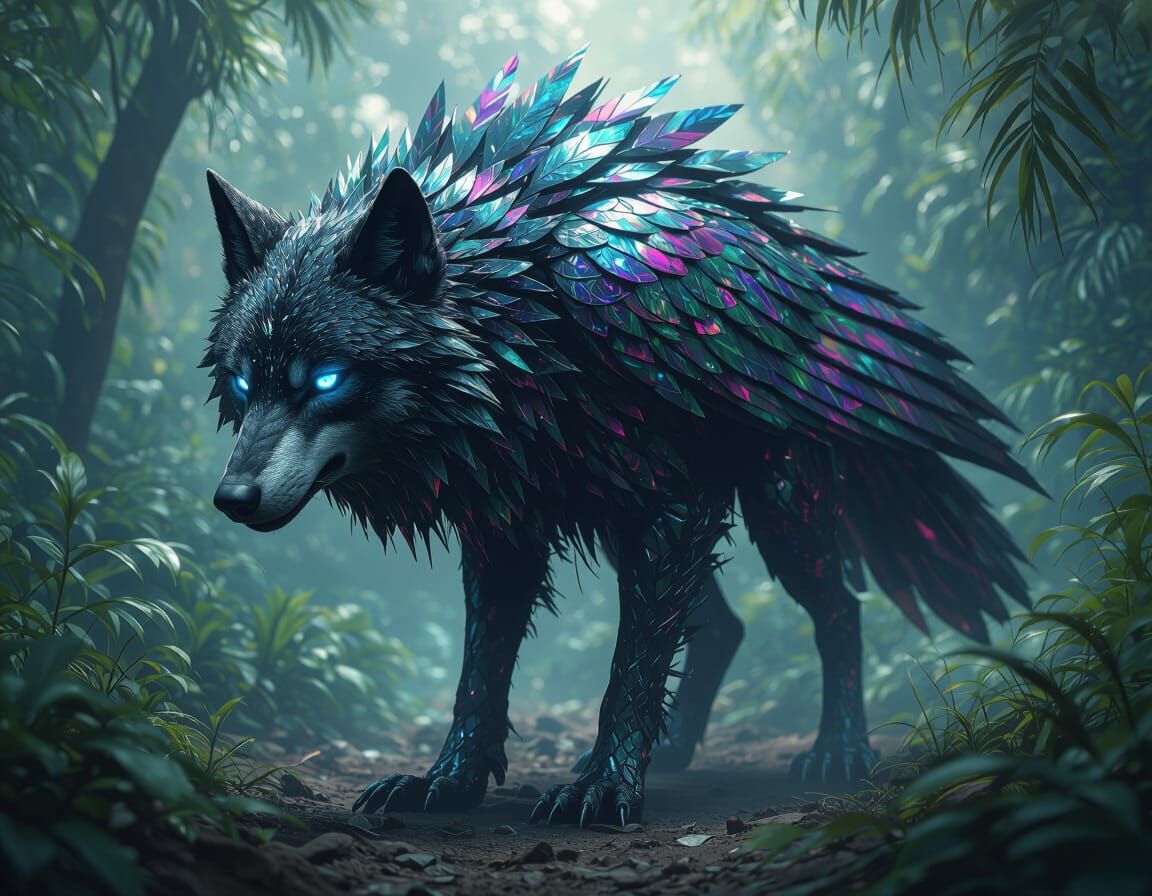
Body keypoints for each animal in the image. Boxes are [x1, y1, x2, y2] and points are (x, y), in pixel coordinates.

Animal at [203, 49, 1036, 827]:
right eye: (243, 383)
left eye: (326, 379)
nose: (231, 498)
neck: (516, 313)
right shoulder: (510, 514)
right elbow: (482, 667)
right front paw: (449, 781)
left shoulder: (667, 505)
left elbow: (629, 664)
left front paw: (604, 787)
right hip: (623, 504)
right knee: (725, 624)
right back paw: (677, 750)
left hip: (777, 499)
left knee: (838, 607)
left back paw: (838, 750)